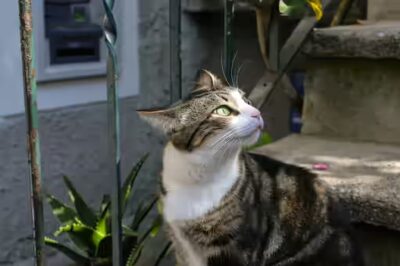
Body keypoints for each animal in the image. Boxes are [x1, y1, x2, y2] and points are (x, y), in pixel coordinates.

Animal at [138, 69, 362, 264]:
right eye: (223, 110)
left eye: (245, 100)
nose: (257, 112)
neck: (198, 172)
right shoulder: (181, 245)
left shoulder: (233, 246)